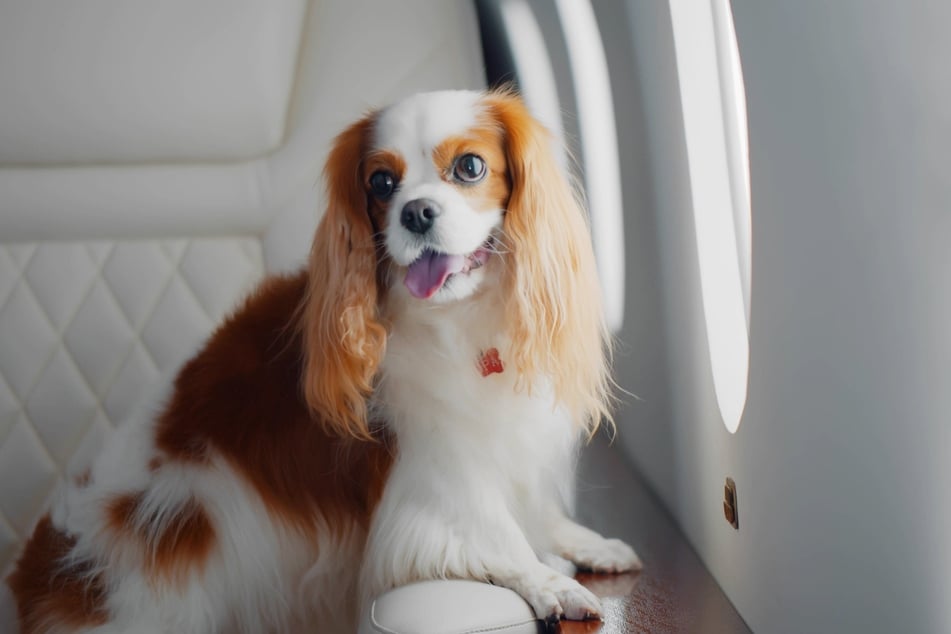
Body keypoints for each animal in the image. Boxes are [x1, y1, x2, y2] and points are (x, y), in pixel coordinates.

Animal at [9, 89, 640, 632]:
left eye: (470, 167)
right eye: (381, 182)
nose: (415, 212)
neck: (460, 320)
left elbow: (536, 511)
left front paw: (584, 543)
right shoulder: (433, 473)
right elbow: (494, 531)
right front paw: (550, 584)